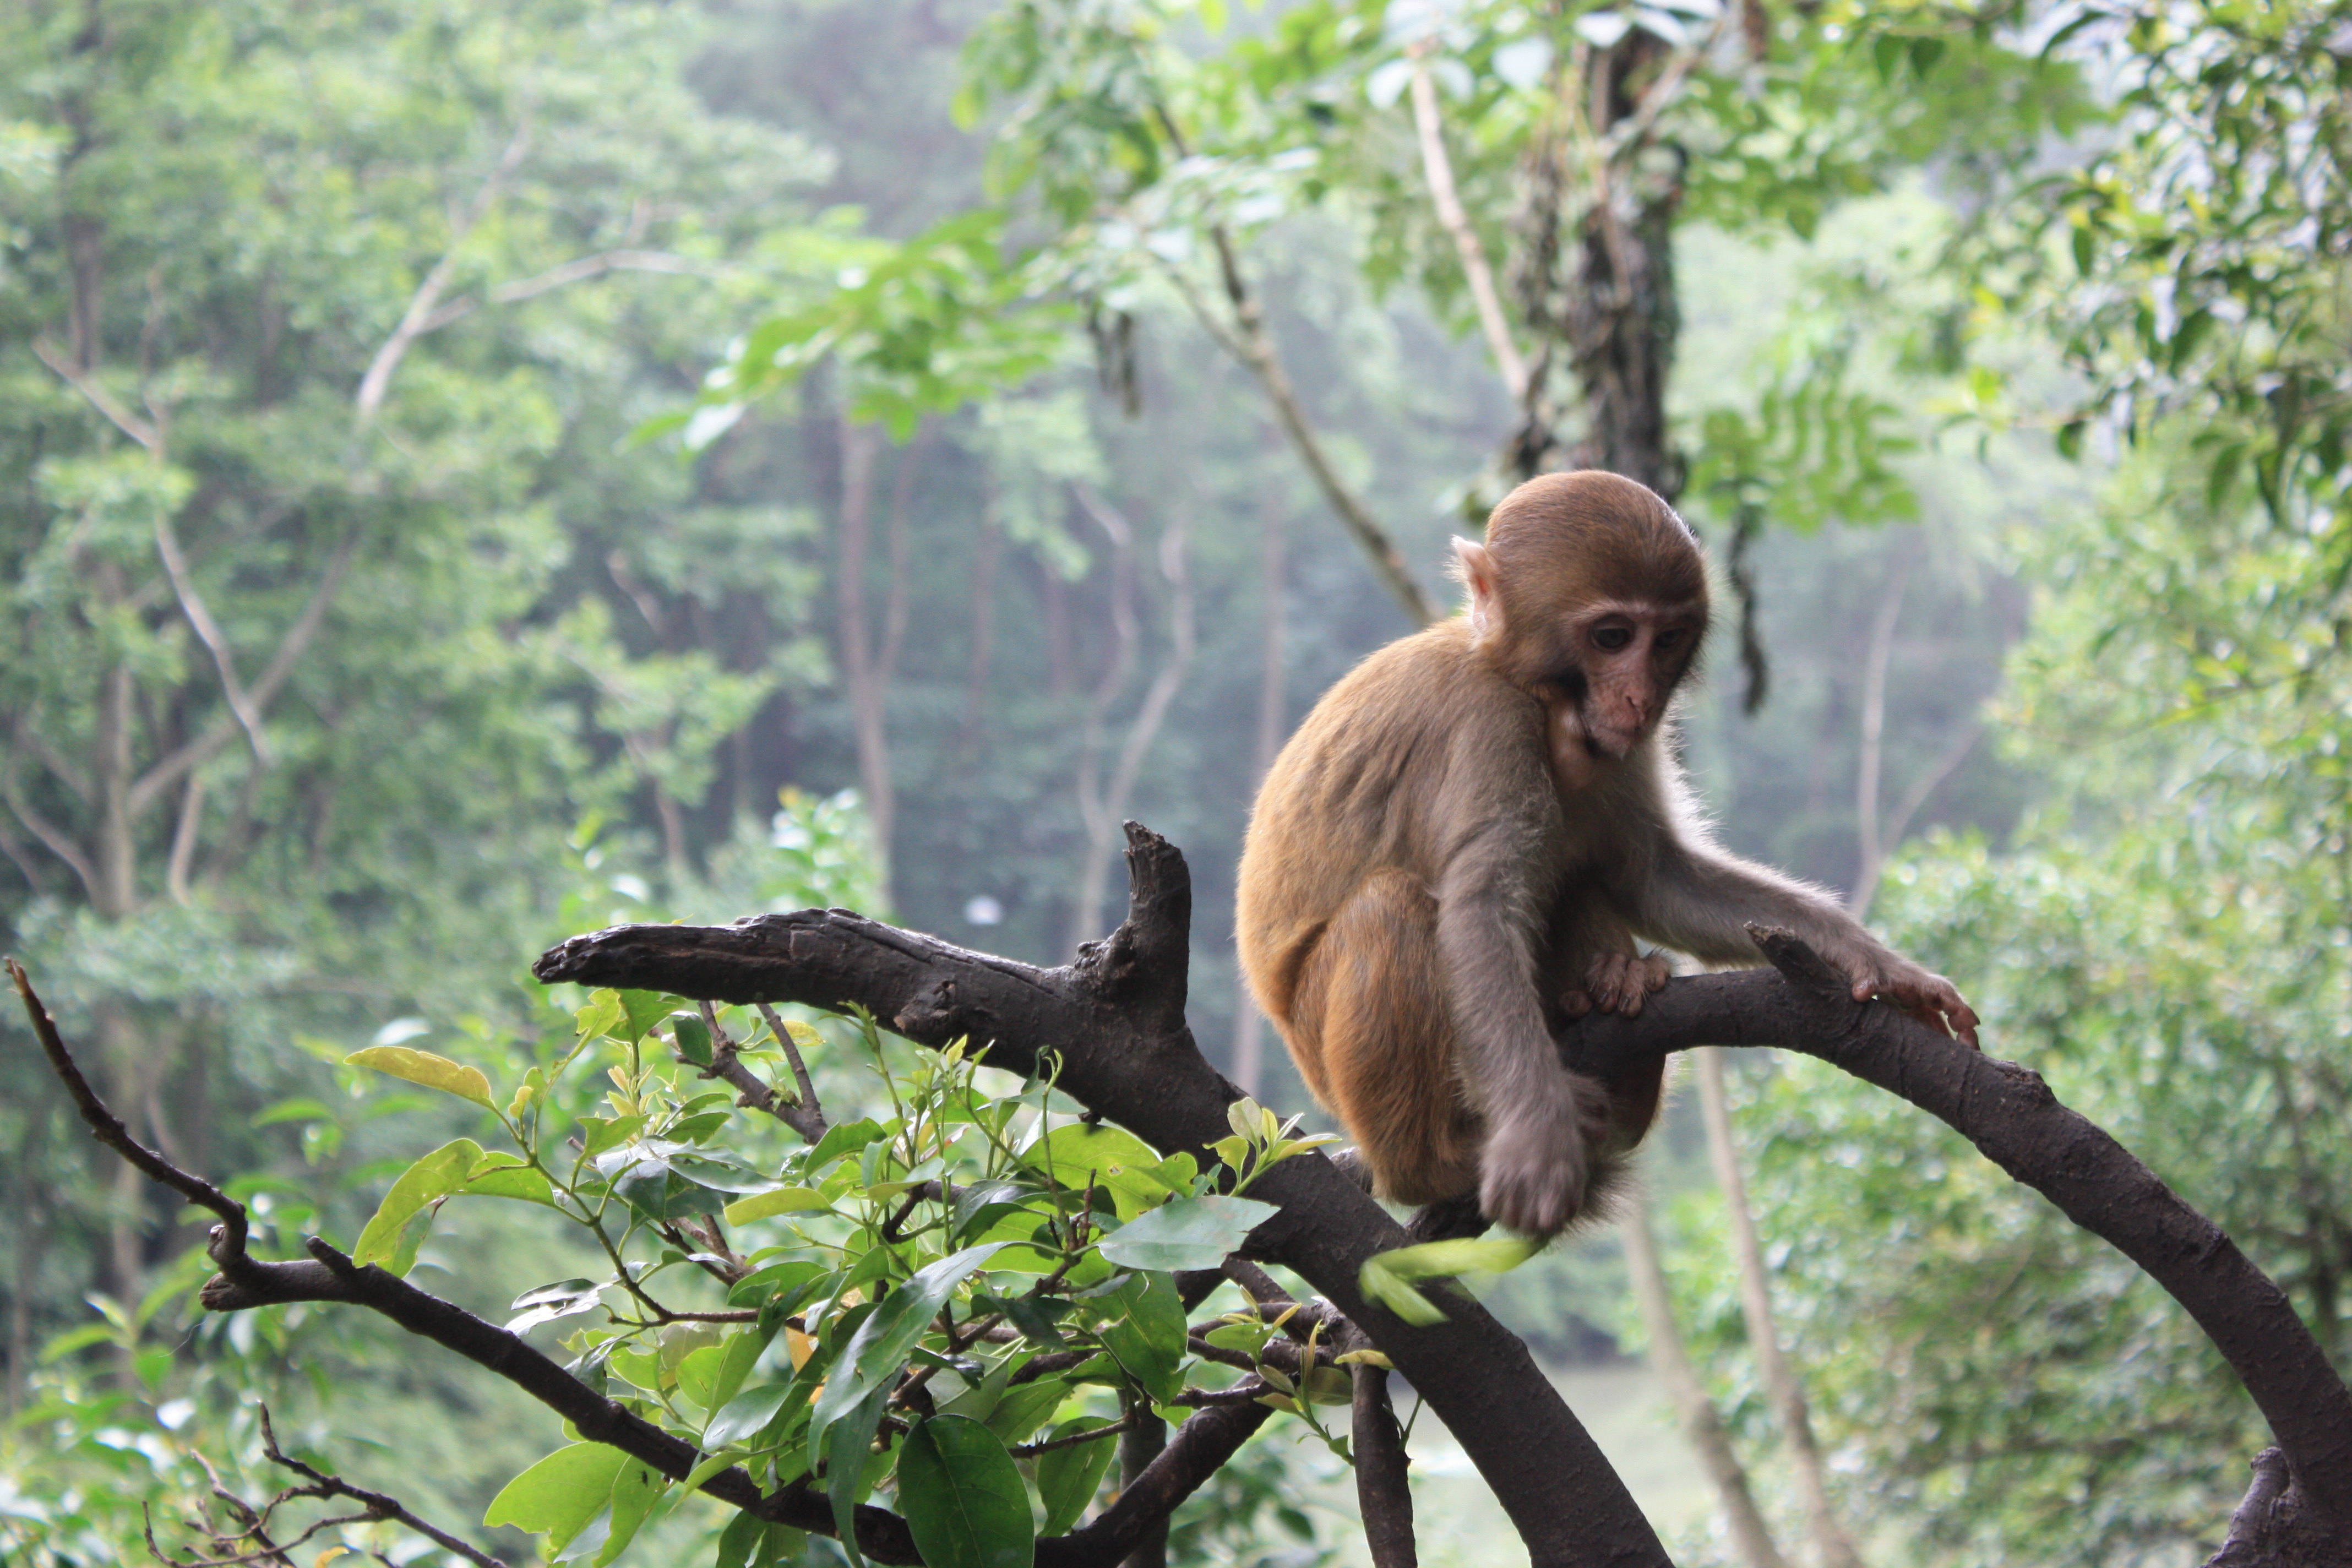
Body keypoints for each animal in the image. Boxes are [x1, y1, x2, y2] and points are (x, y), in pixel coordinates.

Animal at [1232, 465, 1985, 1241]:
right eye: (1613, 636)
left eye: (1667, 640)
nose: (1639, 696)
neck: (1528, 688)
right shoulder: (1488, 721)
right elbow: (1480, 909)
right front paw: (1538, 1139)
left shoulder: (1621, 746)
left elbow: (1652, 875)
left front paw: (1880, 965)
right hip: (1324, 1052)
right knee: (1392, 907)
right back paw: (1435, 1163)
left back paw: (1612, 998)